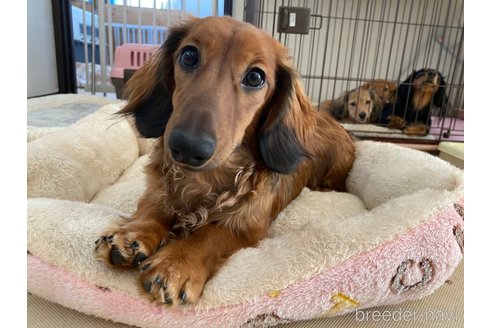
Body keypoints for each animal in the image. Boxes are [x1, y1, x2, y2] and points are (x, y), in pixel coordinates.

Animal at [93, 16, 354, 306]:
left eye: (255, 76)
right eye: (189, 55)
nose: (188, 146)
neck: (204, 178)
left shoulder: (250, 227)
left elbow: (211, 234)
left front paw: (176, 263)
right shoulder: (157, 191)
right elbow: (153, 209)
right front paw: (133, 236)